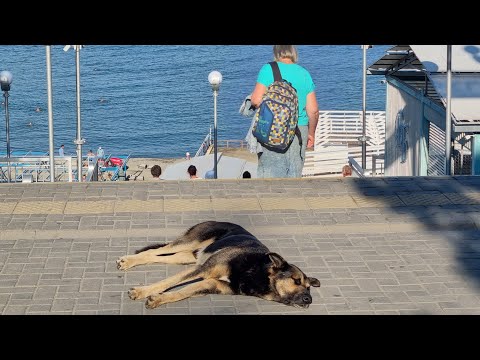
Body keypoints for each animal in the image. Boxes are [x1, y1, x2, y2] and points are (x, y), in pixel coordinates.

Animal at [116, 221, 320, 308]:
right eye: (296, 281)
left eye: (309, 288)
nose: (309, 300)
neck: (257, 273)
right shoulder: (203, 269)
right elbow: (167, 282)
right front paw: (141, 291)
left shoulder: (210, 282)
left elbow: (181, 292)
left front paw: (158, 299)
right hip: (191, 242)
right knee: (156, 250)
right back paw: (128, 261)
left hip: (188, 256)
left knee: (163, 256)